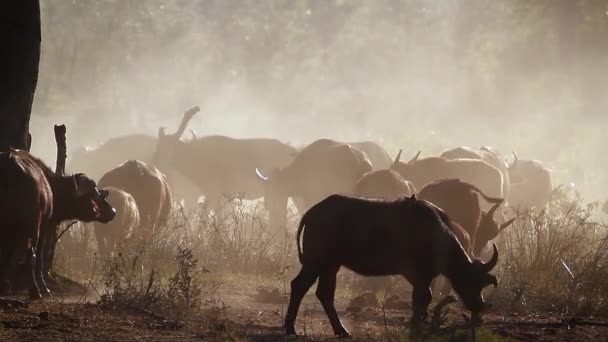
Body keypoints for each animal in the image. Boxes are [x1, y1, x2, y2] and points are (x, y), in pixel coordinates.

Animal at [0, 149, 114, 296]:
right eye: (92, 196)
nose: (113, 211)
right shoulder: (44, 226)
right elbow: (38, 257)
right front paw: (42, 286)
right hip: (32, 225)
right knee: (30, 254)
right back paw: (35, 289)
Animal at [284, 194, 498, 336]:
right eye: (475, 281)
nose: (480, 305)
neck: (435, 236)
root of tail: (313, 212)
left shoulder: (419, 277)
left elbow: (424, 297)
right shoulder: (419, 275)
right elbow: (421, 298)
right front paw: (416, 323)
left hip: (331, 265)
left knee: (325, 293)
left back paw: (341, 330)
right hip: (315, 261)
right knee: (299, 286)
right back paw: (290, 328)